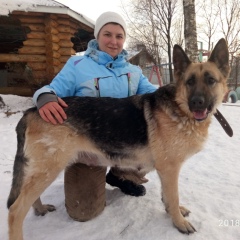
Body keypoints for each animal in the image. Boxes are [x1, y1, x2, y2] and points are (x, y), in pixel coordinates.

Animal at [7, 38, 229, 239]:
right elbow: (172, 197)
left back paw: (40, 209)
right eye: (190, 82)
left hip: (41, 170)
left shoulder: (166, 170)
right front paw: (179, 223)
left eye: (210, 80)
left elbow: (168, 197)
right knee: (15, 210)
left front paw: (174, 213)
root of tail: (33, 110)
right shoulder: (169, 168)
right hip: (48, 169)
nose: (198, 103)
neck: (180, 108)